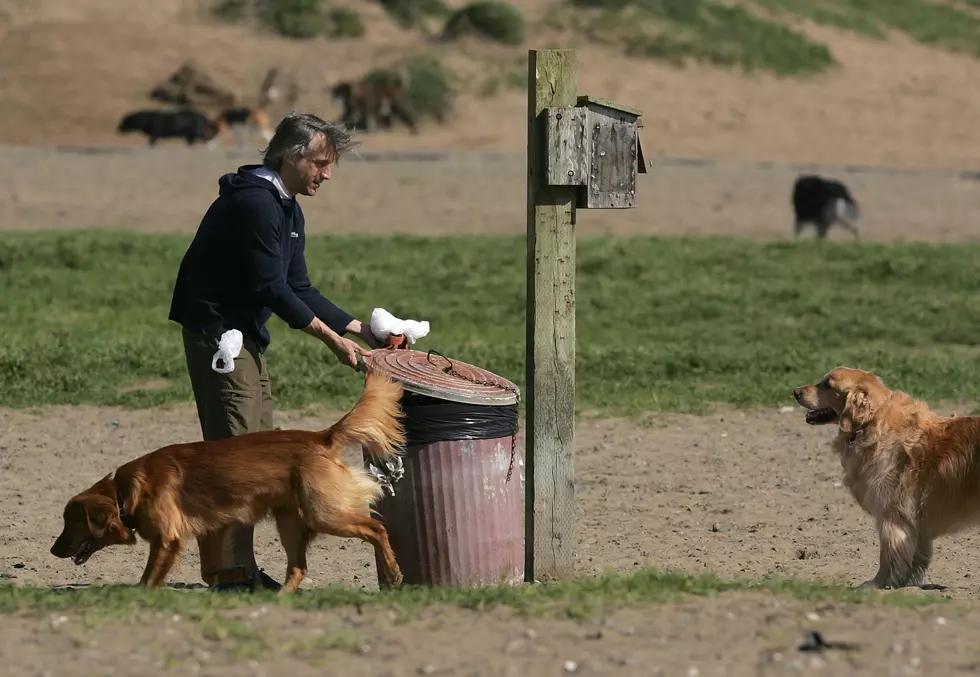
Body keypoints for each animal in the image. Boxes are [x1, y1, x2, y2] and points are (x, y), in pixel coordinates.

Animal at [49, 368, 408, 596]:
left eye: (72, 522)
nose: (52, 550)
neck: (124, 493)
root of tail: (321, 437)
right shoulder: (209, 530)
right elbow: (209, 570)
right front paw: (236, 578)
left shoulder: (166, 540)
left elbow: (149, 577)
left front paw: (139, 597)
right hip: (290, 521)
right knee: (298, 568)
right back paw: (279, 601)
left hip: (324, 513)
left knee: (376, 529)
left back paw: (393, 573)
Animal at [792, 368, 980, 588]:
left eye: (827, 385)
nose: (795, 392)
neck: (870, 423)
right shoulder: (915, 525)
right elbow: (915, 557)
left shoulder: (891, 516)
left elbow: (888, 555)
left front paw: (877, 584)